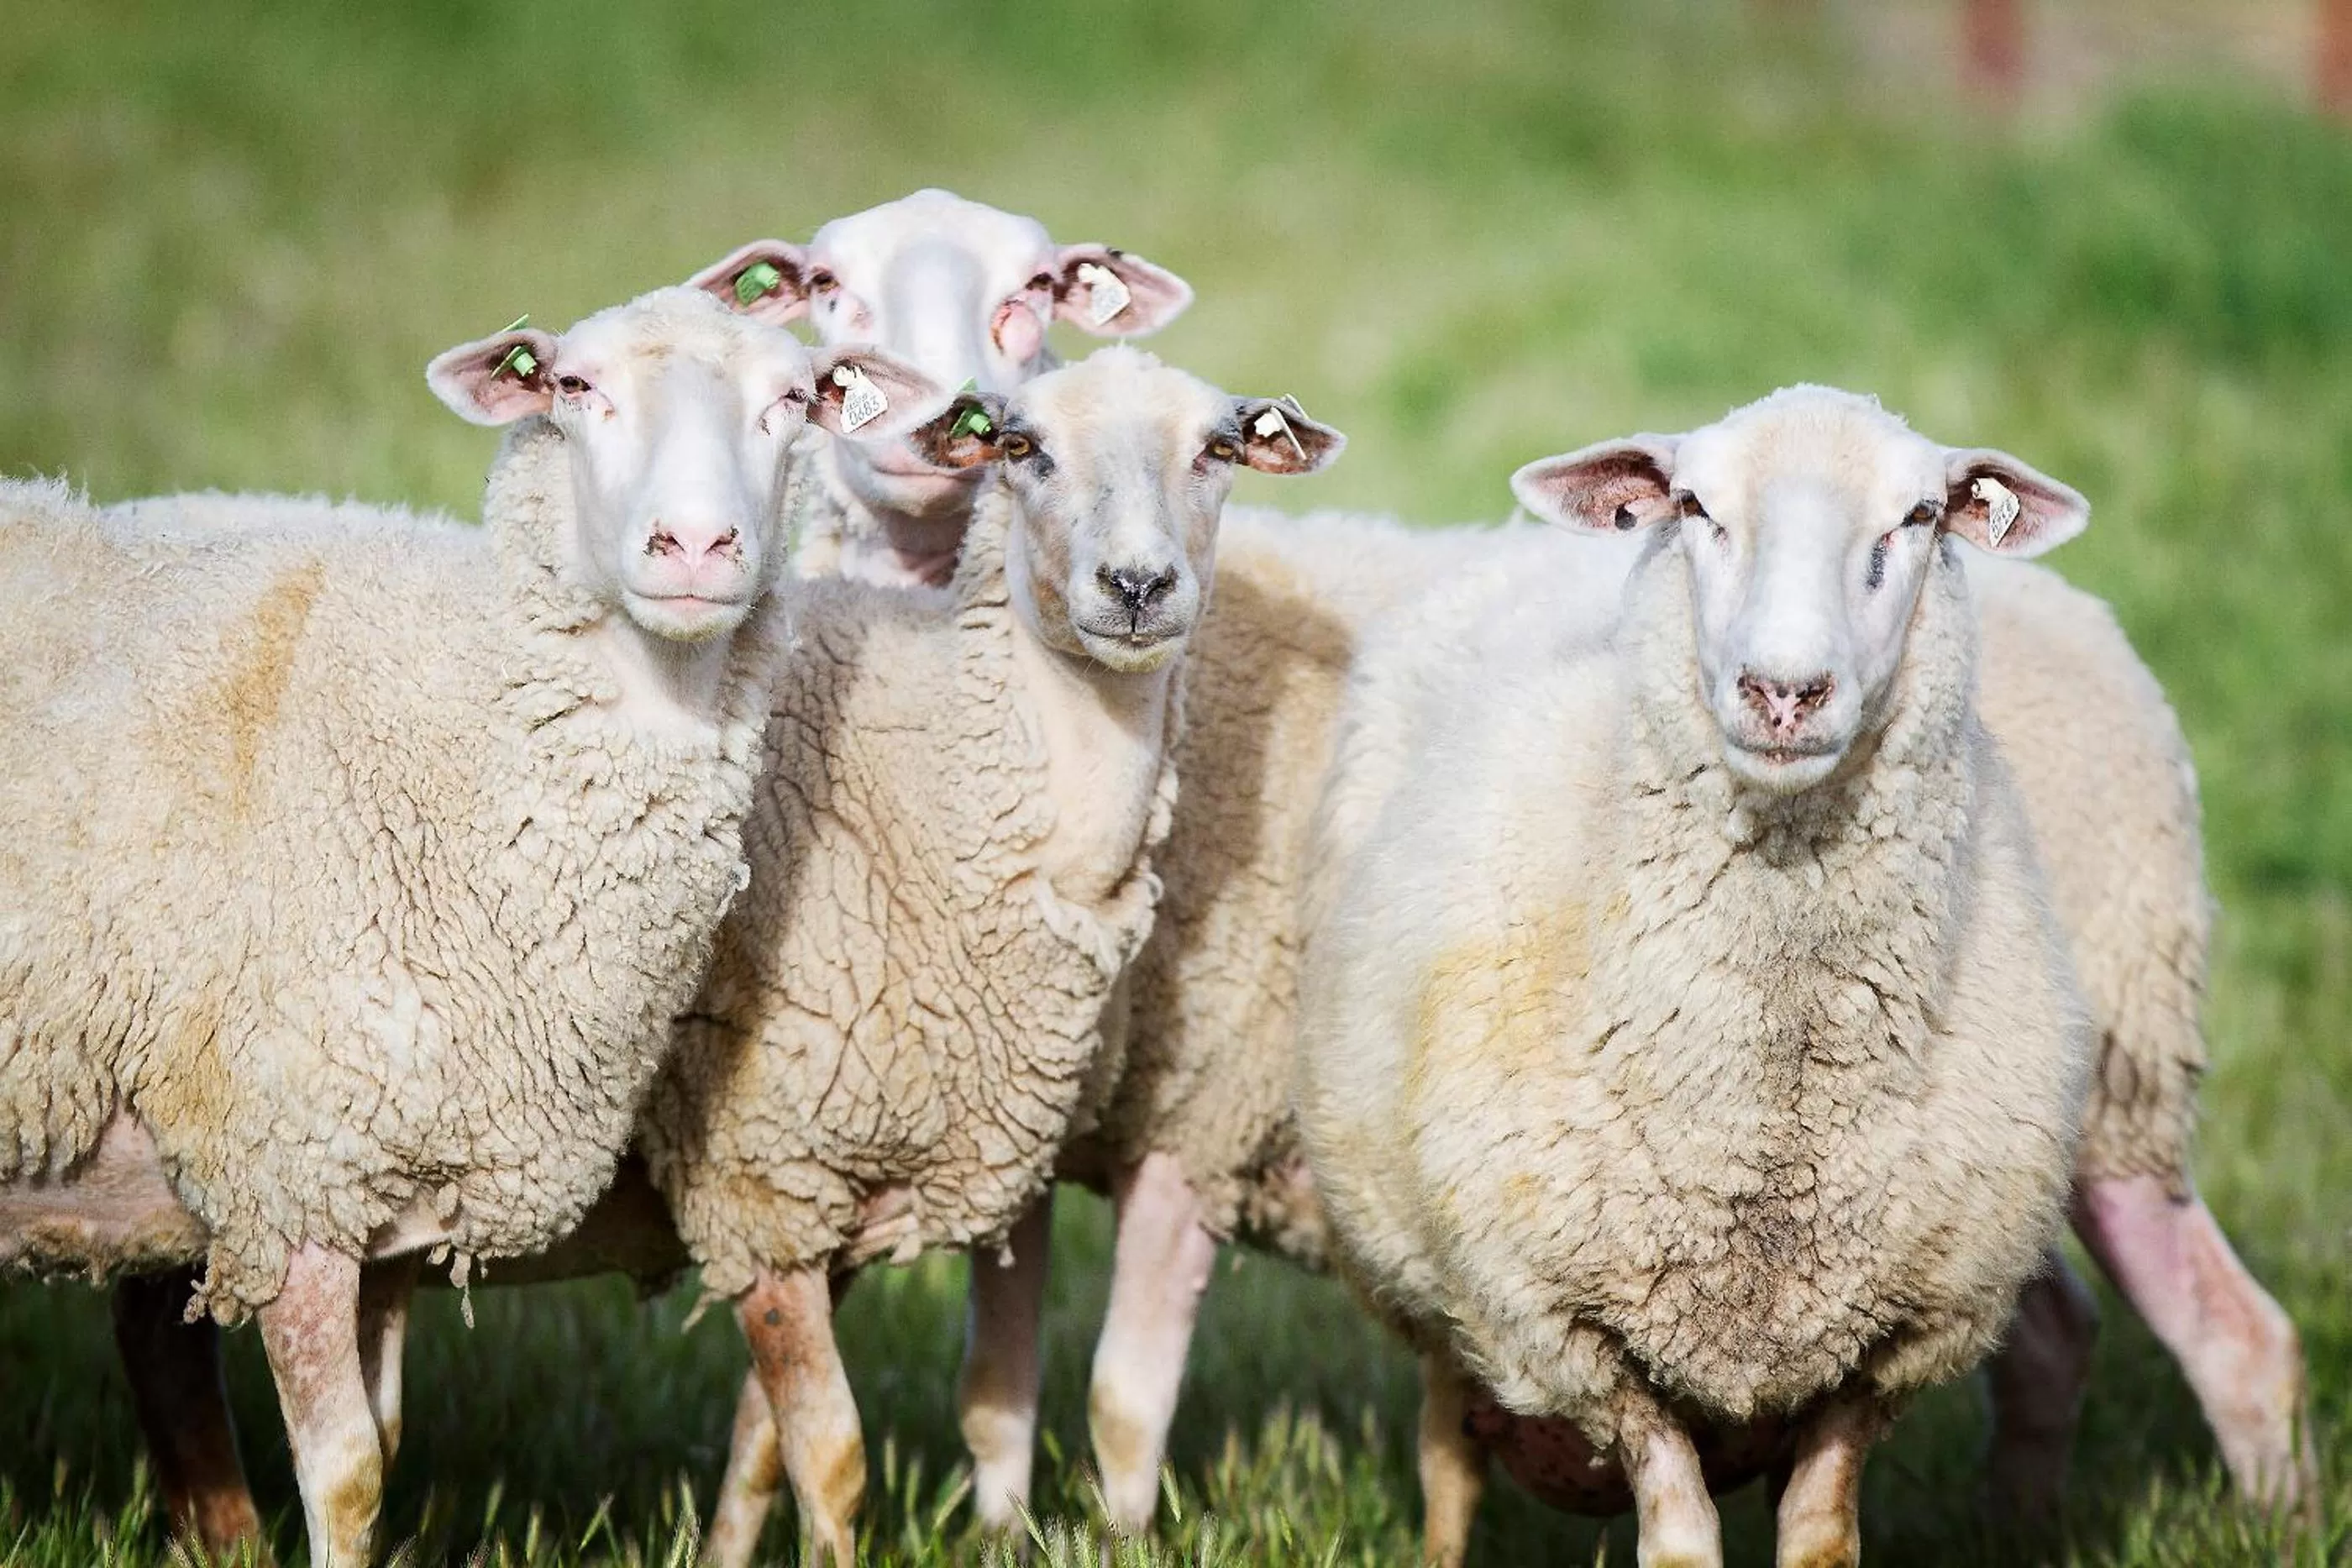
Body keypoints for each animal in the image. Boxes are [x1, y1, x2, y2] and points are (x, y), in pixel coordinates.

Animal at [0, 284, 942, 1568]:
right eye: (575, 389)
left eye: (793, 400)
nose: (697, 549)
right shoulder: (289, 1158)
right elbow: (347, 1472)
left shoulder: (392, 1184)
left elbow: (382, 1443)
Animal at [626, 345, 1344, 1568]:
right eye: (1021, 446)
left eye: (1219, 447)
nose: (1139, 585)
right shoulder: (757, 1168)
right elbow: (829, 1456)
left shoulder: (820, 1192)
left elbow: (762, 1444)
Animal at [1294, 386, 2097, 1567]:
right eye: (1692, 506)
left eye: (1917, 516)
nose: (1784, 691)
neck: (1771, 1100)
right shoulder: (1568, 1325)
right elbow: (1676, 1537)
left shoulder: (1892, 1341)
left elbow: (1820, 1534)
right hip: (1435, 1283)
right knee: (1446, 1462)